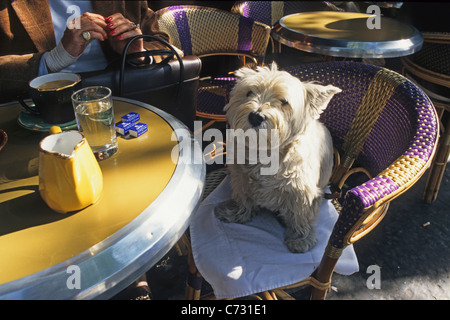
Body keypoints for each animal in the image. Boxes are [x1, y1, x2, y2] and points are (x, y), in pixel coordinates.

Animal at [215, 63, 342, 252]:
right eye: (249, 92)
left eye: (284, 102)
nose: (255, 116)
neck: (265, 153)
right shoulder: (241, 178)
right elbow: (243, 197)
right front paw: (236, 213)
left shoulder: (301, 191)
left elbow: (301, 215)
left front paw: (300, 238)